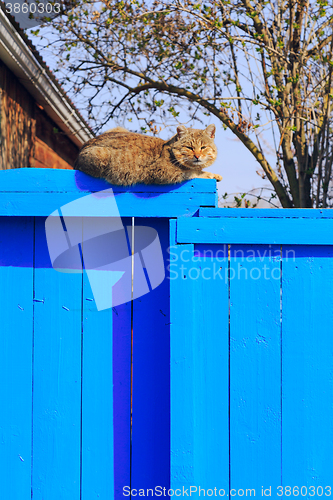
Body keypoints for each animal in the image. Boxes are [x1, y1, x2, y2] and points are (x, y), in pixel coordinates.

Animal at [74, 124, 222, 187]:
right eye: (189, 148)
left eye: (203, 147)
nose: (197, 156)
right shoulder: (162, 172)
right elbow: (192, 173)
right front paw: (210, 174)